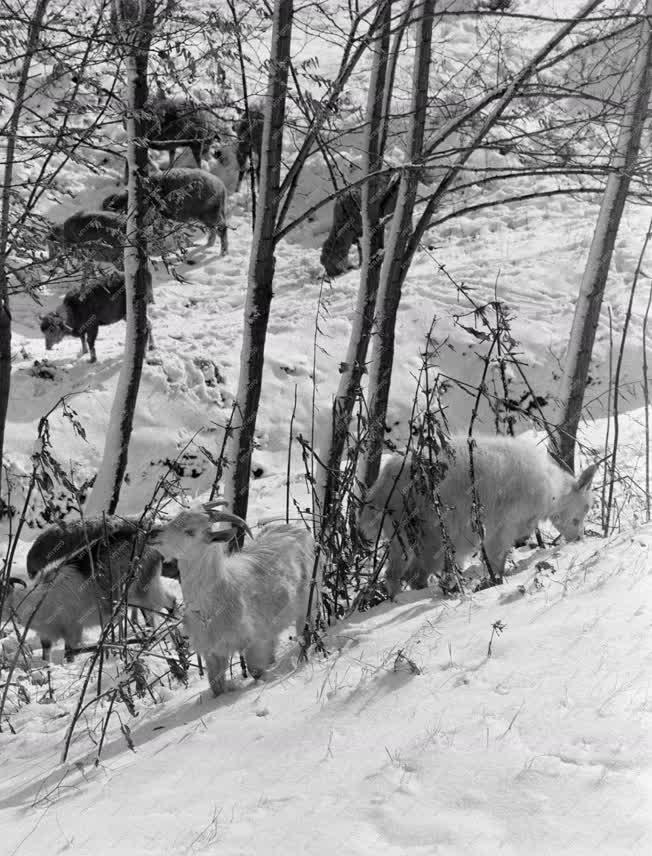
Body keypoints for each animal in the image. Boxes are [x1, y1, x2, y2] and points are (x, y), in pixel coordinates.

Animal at [150, 504, 318, 700]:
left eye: (190, 531)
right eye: (174, 519)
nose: (153, 533)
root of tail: (298, 530)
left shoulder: (255, 640)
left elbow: (255, 671)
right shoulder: (213, 652)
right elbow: (216, 686)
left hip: (308, 602)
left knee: (305, 632)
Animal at [360, 434, 600, 596]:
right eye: (585, 508)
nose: (579, 538)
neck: (550, 490)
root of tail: (381, 487)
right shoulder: (503, 526)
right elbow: (497, 558)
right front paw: (496, 580)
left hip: (405, 536)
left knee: (398, 573)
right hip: (426, 535)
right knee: (411, 575)